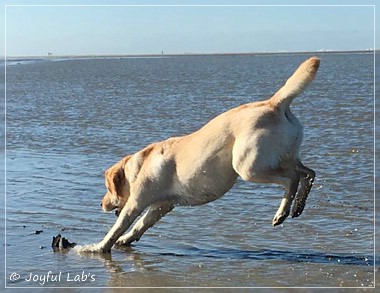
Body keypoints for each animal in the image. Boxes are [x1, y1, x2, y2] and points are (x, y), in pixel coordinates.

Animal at [78, 56, 320, 251]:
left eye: (108, 188)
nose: (101, 204)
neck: (138, 166)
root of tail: (274, 104)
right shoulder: (161, 206)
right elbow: (141, 225)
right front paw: (126, 240)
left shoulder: (137, 203)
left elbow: (118, 227)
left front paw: (97, 248)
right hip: (282, 157)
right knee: (308, 172)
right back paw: (299, 205)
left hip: (248, 167)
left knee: (291, 179)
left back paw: (282, 212)